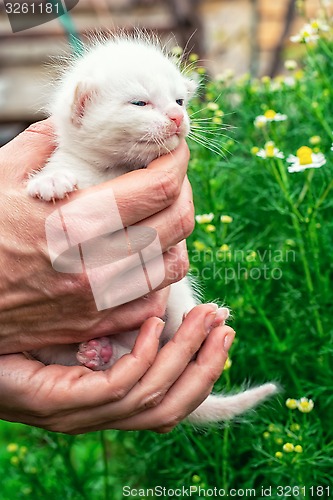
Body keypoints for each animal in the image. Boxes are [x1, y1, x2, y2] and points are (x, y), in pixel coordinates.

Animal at [27, 33, 278, 424]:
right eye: (140, 102)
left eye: (179, 100)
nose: (178, 117)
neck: (118, 170)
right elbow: (61, 169)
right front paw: (50, 182)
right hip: (56, 345)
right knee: (87, 358)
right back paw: (99, 354)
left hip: (176, 296)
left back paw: (206, 322)